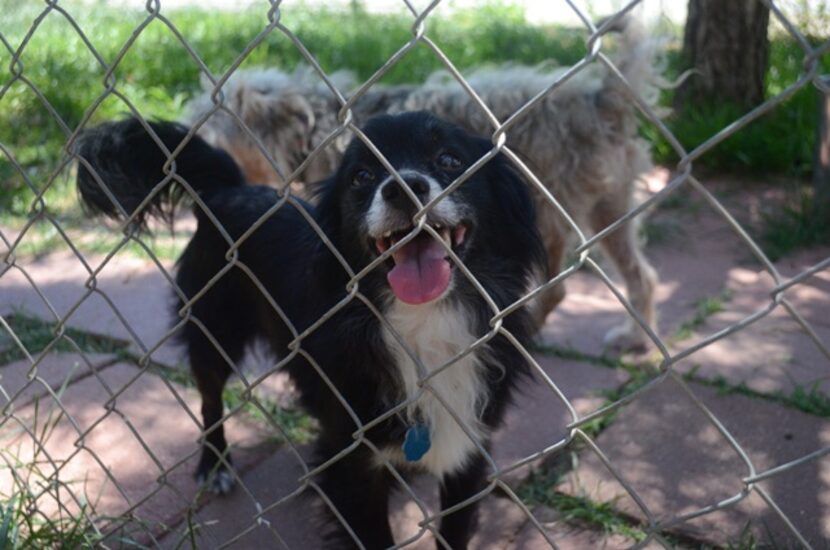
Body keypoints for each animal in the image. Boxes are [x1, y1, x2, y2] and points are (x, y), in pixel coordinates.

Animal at [76, 111, 544, 548]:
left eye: (449, 160)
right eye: (361, 177)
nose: (401, 187)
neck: (424, 323)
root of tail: (231, 187)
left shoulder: (469, 450)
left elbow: (455, 530)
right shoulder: (356, 469)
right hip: (212, 328)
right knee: (210, 401)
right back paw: (215, 466)